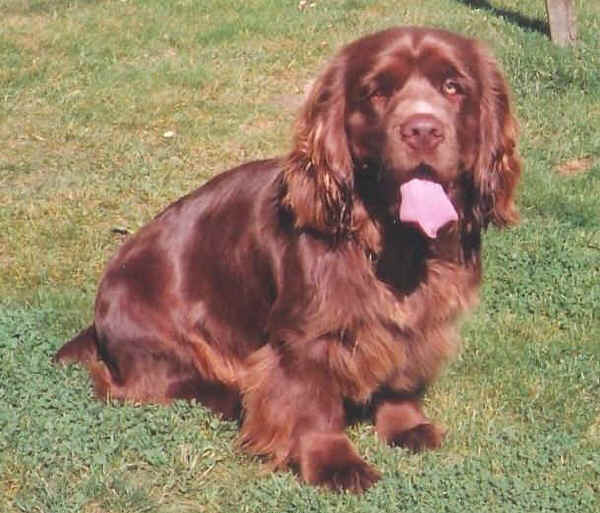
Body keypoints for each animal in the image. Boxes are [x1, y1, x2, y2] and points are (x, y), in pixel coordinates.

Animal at [58, 26, 524, 490]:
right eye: (377, 91)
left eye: (453, 87)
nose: (423, 130)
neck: (393, 243)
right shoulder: (305, 335)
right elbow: (313, 402)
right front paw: (335, 464)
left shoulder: (423, 320)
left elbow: (402, 379)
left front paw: (406, 426)